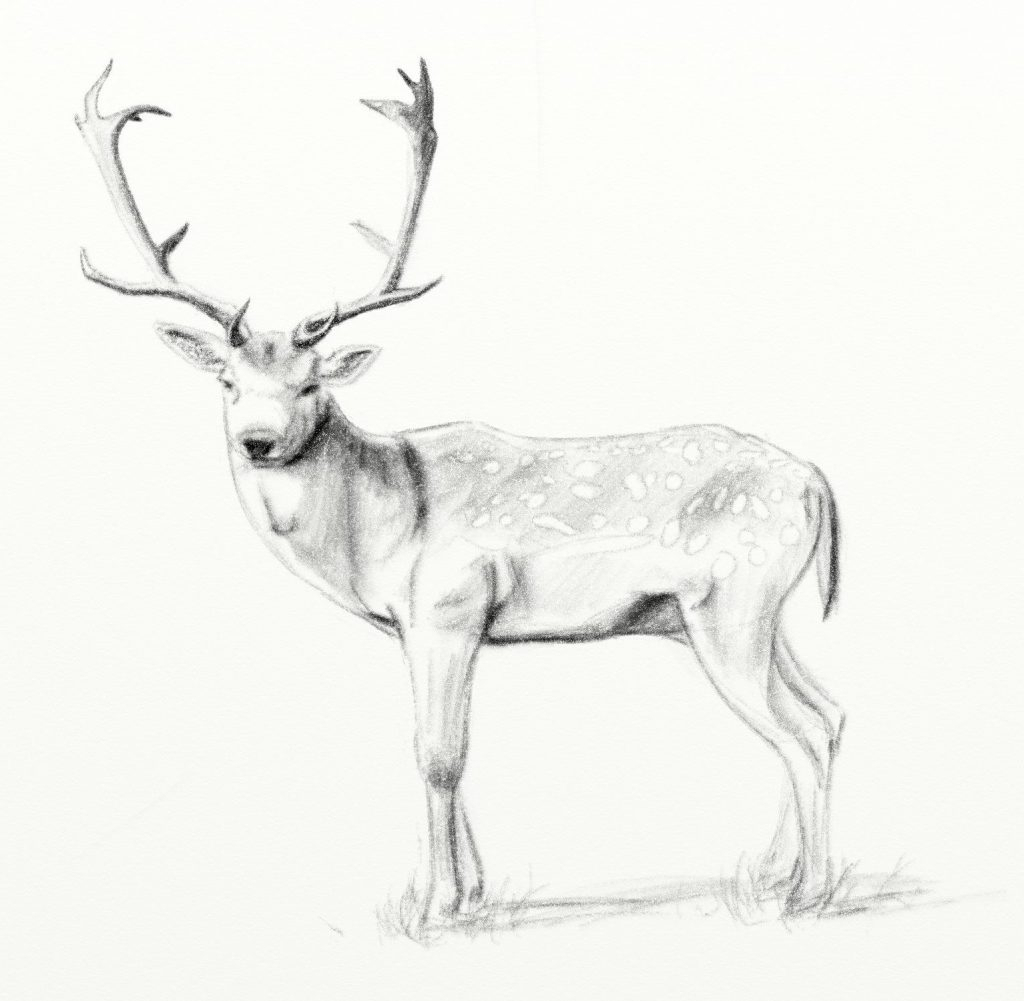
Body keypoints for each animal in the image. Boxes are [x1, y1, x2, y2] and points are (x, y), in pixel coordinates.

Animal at [77, 60, 845, 923]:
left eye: (312, 383)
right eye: (228, 383)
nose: (259, 440)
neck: (377, 527)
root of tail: (816, 482)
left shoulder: (449, 603)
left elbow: (440, 753)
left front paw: (434, 906)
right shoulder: (414, 626)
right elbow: (437, 748)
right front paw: (468, 891)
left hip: (734, 601)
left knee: (800, 730)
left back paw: (809, 891)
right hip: (739, 612)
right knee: (827, 712)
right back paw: (774, 873)